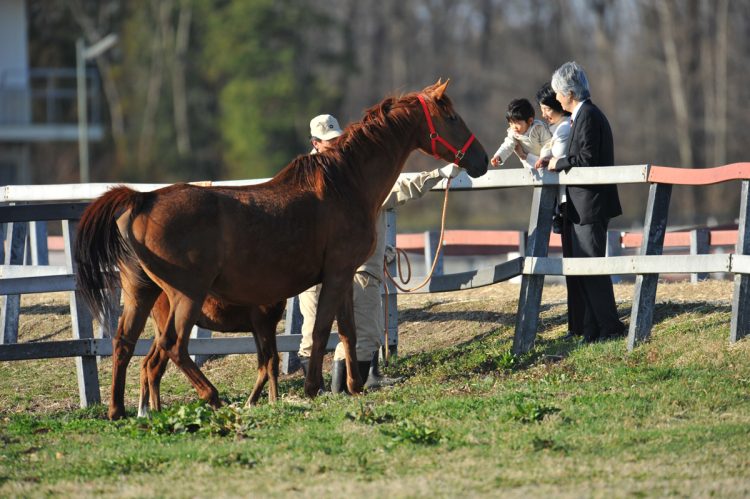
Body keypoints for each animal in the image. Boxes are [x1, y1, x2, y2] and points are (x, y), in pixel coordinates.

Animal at [75, 81, 488, 418]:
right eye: (451, 116)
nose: (482, 160)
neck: (344, 183)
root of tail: (142, 199)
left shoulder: (343, 277)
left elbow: (348, 331)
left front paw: (353, 387)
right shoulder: (335, 275)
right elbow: (320, 331)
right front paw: (312, 388)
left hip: (141, 293)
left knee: (124, 345)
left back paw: (118, 411)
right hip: (185, 296)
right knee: (172, 346)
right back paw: (212, 397)